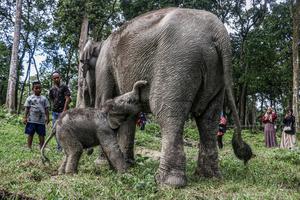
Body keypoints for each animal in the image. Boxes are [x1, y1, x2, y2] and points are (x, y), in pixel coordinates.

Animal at [79, 7, 251, 188]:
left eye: (83, 66)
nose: (88, 151)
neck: (100, 42)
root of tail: (219, 32)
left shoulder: (104, 66)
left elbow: (104, 102)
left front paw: (101, 164)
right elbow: (129, 114)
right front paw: (127, 165)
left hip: (177, 64)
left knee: (167, 113)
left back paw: (167, 182)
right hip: (216, 75)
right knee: (209, 119)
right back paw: (208, 176)